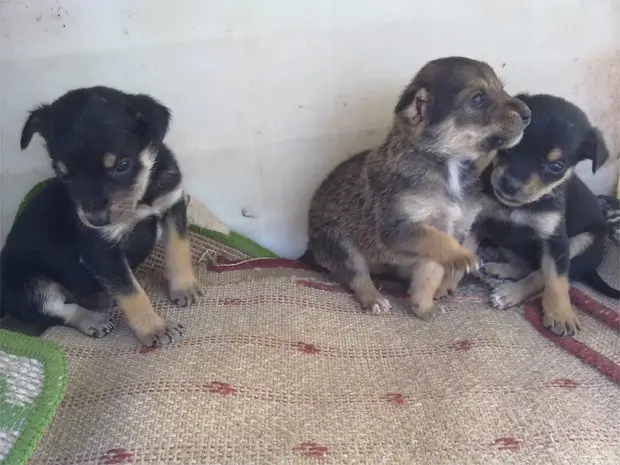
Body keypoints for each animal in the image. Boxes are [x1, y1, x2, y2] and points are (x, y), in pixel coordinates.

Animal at [0, 87, 201, 346]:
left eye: (122, 165)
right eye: (64, 175)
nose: (96, 220)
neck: (141, 199)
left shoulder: (172, 205)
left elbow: (178, 250)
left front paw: (185, 287)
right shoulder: (101, 252)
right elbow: (132, 294)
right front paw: (154, 328)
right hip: (29, 285)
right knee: (60, 309)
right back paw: (92, 320)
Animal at [302, 55, 532, 320]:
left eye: (502, 89)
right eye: (478, 98)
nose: (528, 114)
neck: (449, 164)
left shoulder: (445, 234)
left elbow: (430, 276)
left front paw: (424, 307)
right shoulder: (400, 228)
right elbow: (439, 241)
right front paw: (463, 257)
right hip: (340, 244)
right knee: (357, 275)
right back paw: (374, 298)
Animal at [474, 92, 616, 336]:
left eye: (556, 166)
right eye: (509, 147)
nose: (510, 185)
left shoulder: (555, 240)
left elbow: (556, 279)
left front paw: (560, 314)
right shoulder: (481, 216)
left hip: (582, 241)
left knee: (541, 274)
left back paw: (509, 292)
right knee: (526, 264)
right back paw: (497, 263)